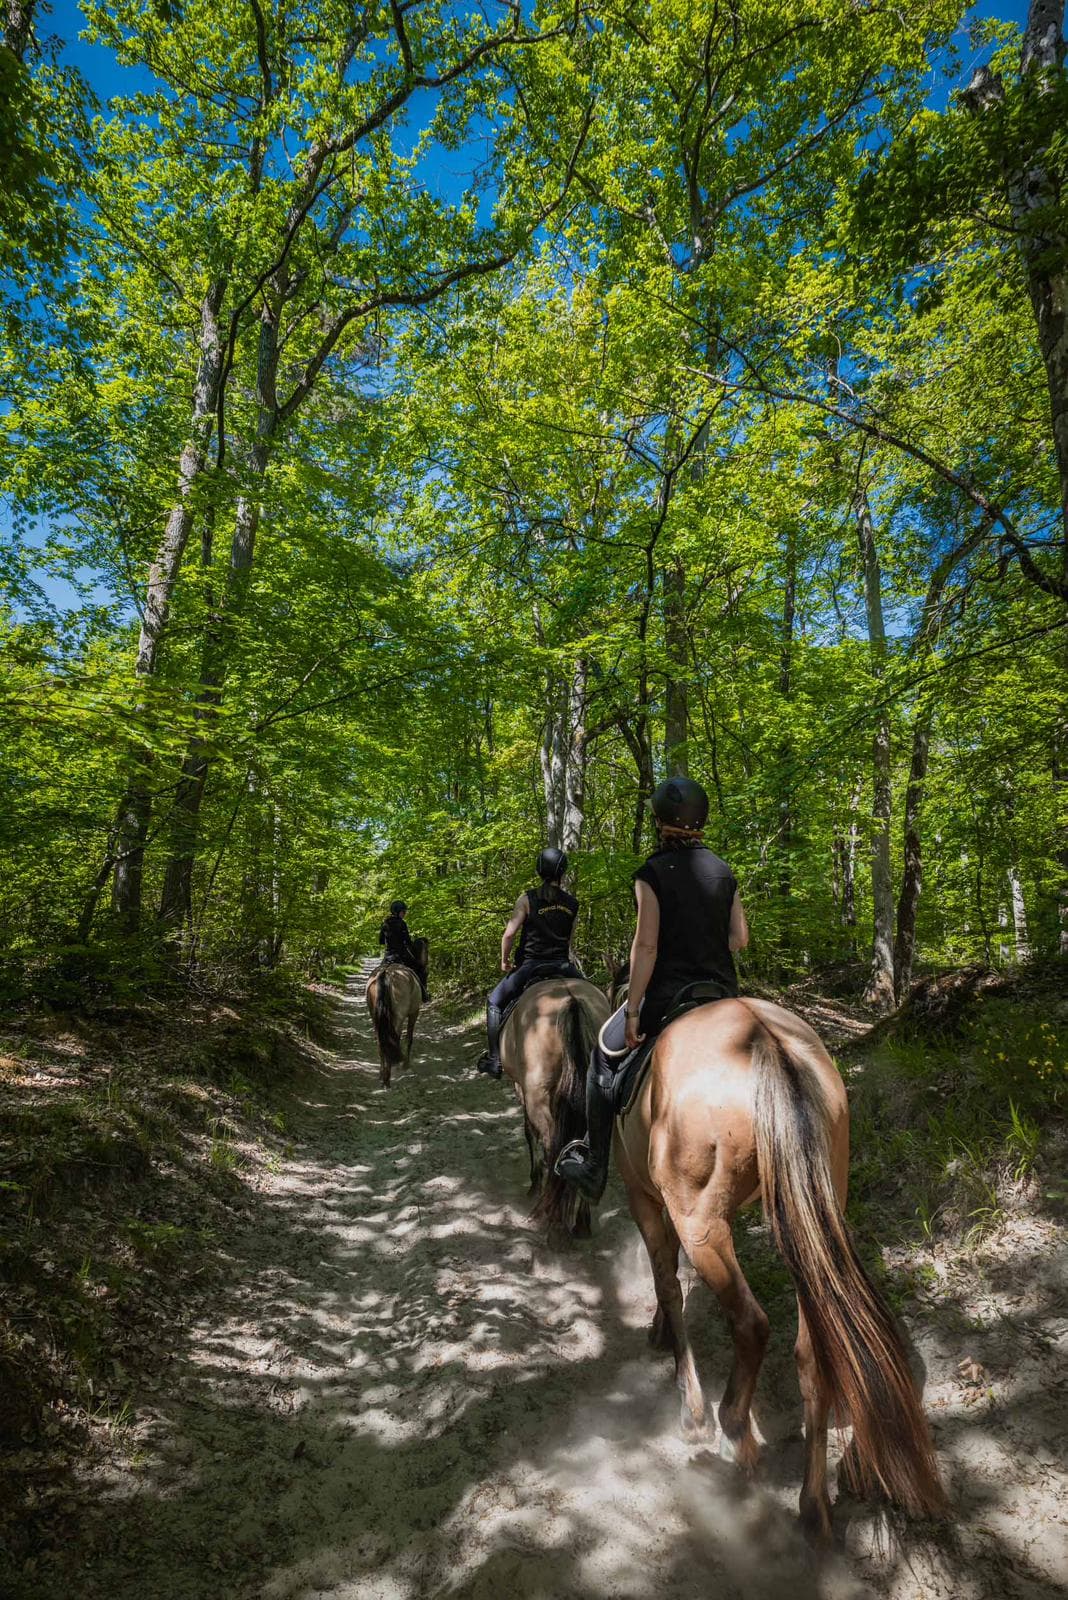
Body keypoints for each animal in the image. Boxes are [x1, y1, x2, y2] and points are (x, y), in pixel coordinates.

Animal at [366, 944, 425, 1088]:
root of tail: (385, 973)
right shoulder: (413, 1013)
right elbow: (408, 1039)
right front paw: (405, 1065)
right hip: (398, 1017)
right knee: (393, 1039)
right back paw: (387, 1078)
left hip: (375, 1017)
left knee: (380, 1042)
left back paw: (382, 1075)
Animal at [500, 976, 609, 1244]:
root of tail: (572, 1001)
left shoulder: (521, 1088)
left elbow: (529, 1132)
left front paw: (533, 1183)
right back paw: (581, 1223)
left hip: (538, 1095)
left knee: (551, 1144)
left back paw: (555, 1223)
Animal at [612, 993, 946, 1543]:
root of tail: (762, 1037)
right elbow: (667, 1278)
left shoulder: (645, 1198)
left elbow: (667, 1282)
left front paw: (690, 1406)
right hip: (808, 1211)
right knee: (814, 1351)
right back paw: (813, 1507)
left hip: (701, 1219)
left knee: (751, 1323)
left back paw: (733, 1437)